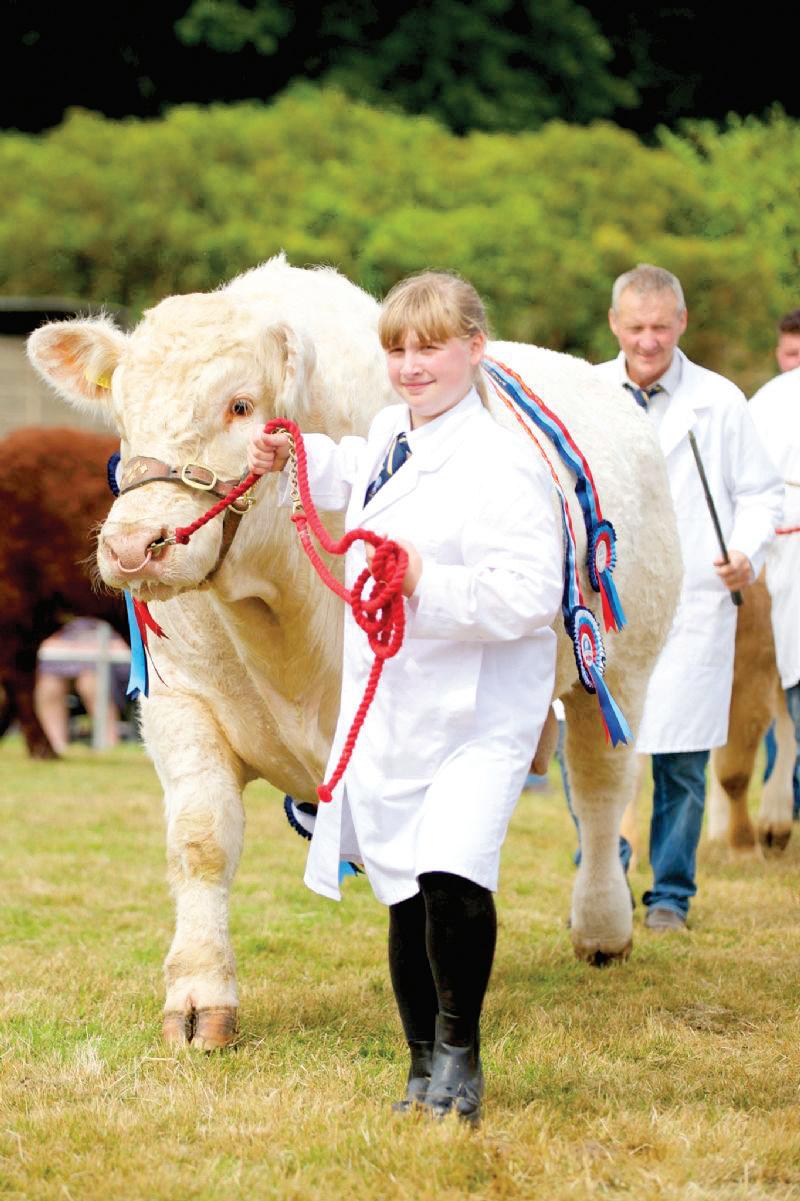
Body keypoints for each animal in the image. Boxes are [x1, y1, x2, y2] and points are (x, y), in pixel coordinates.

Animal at [27, 256, 682, 1049]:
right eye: (121, 417)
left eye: (241, 405)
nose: (132, 546)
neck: (281, 617)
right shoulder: (180, 701)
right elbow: (202, 841)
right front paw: (197, 999)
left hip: (620, 670)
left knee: (599, 789)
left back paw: (602, 928)